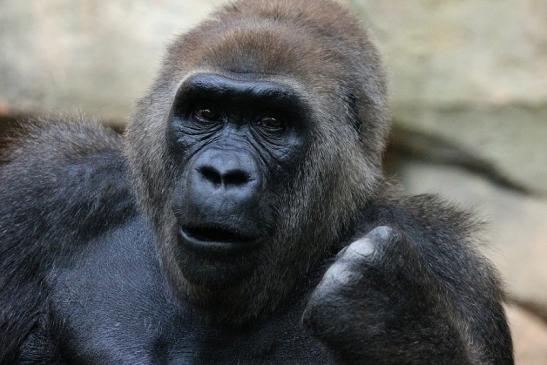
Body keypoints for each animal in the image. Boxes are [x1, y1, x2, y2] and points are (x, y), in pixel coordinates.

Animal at [0, 0, 512, 364]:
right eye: (206, 113)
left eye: (271, 123)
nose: (224, 174)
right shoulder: (48, 190)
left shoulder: (448, 263)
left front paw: (394, 320)